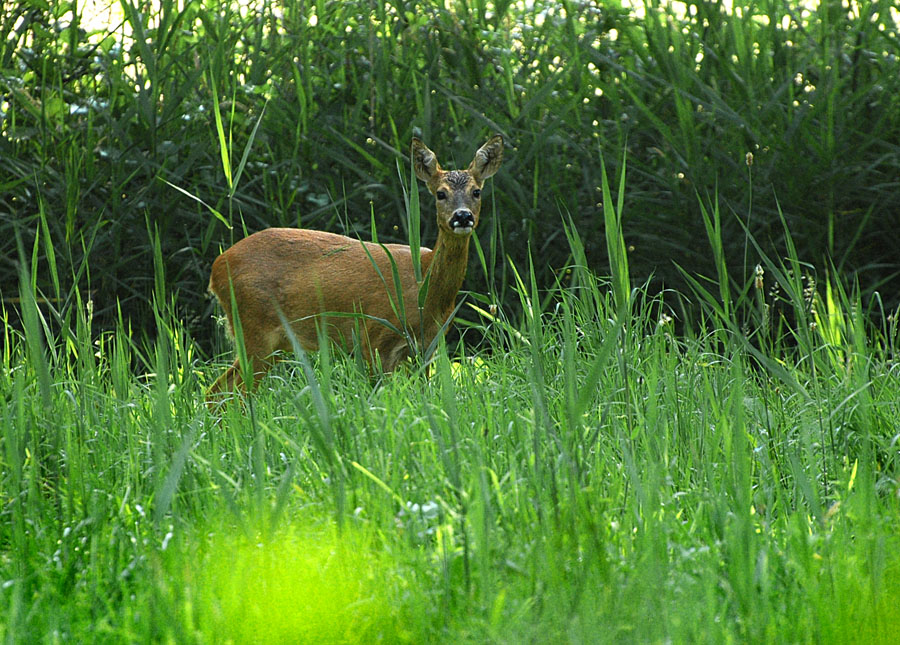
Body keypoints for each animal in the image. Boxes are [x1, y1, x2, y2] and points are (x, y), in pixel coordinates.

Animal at [206, 134, 504, 402]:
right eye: (441, 193)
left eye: (476, 191)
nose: (462, 216)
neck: (423, 289)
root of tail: (217, 267)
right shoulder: (373, 338)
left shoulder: (426, 348)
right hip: (255, 328)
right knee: (225, 392)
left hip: (271, 341)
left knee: (221, 391)